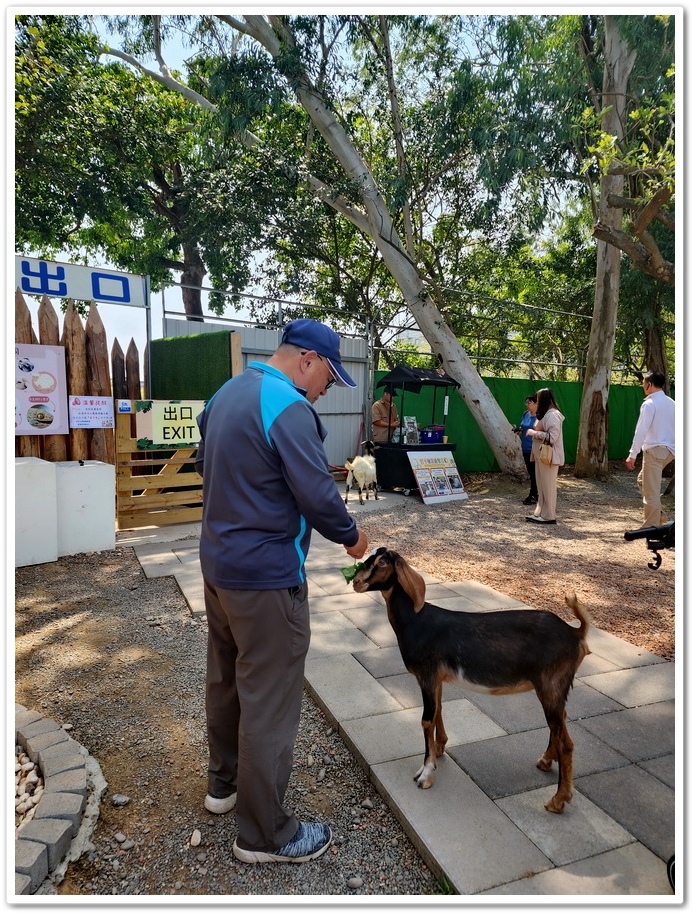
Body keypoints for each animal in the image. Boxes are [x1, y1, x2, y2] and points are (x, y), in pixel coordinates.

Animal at [354, 548, 592, 812]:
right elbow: (438, 711)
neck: (415, 621)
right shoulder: (436, 678)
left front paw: (425, 774)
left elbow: (426, 720)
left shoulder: (426, 675)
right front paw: (440, 748)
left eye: (383, 562)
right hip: (554, 688)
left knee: (566, 742)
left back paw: (558, 800)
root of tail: (575, 633)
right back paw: (546, 761)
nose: (356, 582)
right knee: (560, 722)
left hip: (551, 685)